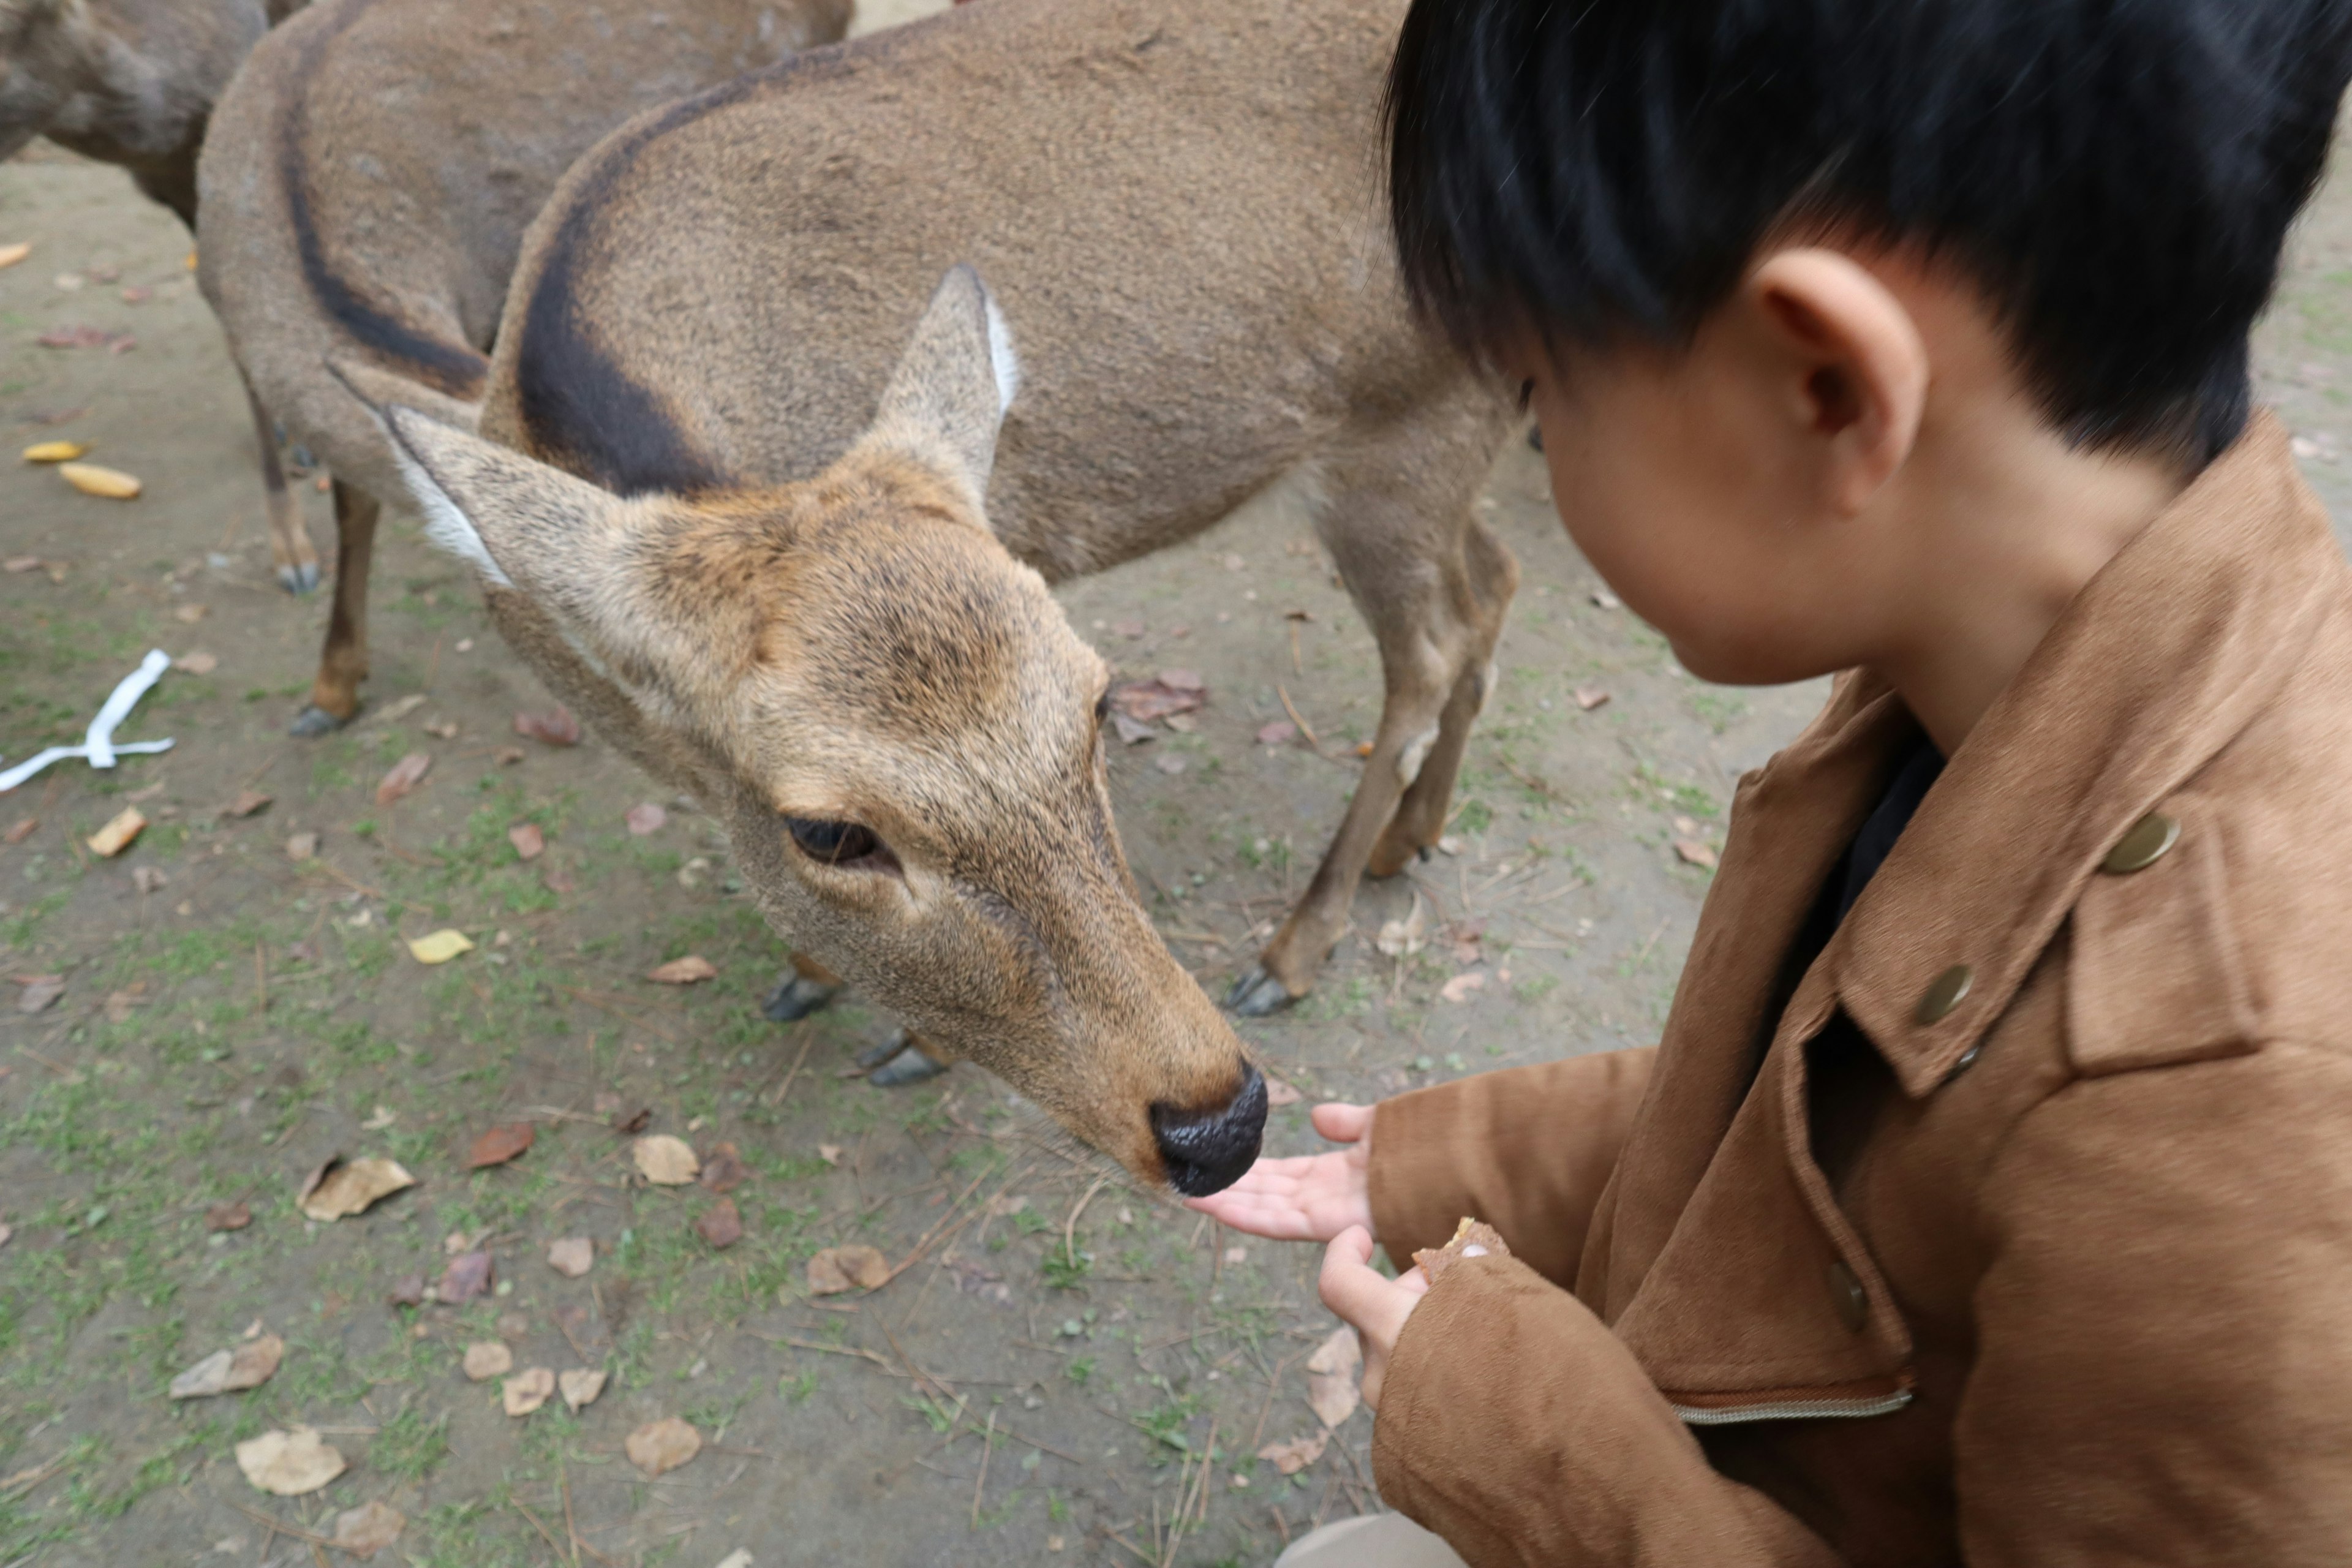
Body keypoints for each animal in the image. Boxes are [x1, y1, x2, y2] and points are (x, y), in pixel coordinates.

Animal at [336, 0, 1524, 1189]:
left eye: (1098, 703)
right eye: (827, 833)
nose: (1220, 1122)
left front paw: (909, 1043)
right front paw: (809, 973)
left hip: (1406, 429)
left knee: (1431, 647)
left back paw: (1293, 949)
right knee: (1493, 587)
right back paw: (1406, 841)